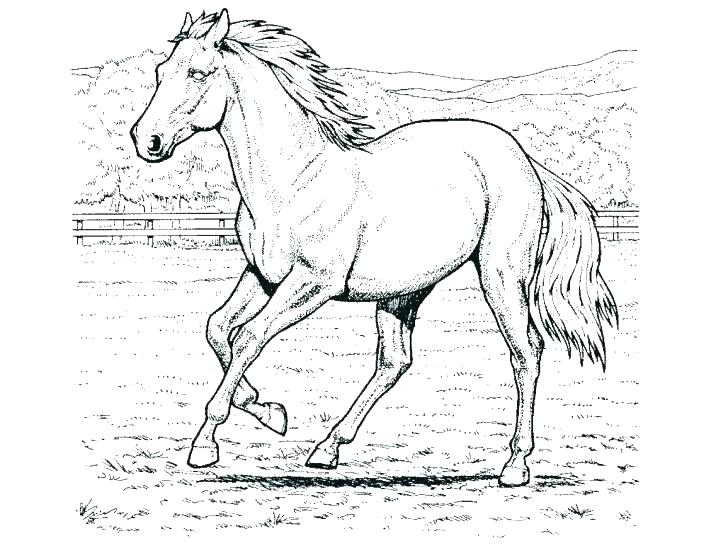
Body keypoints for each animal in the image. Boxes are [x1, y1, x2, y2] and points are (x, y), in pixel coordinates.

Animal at [130, 9, 617, 487]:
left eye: (198, 72)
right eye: (160, 71)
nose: (145, 141)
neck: (295, 180)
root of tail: (524, 159)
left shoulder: (313, 284)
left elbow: (248, 337)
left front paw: (206, 445)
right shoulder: (262, 276)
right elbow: (217, 329)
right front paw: (269, 411)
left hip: (501, 275)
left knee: (525, 352)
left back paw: (515, 465)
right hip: (403, 292)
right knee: (395, 361)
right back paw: (327, 449)